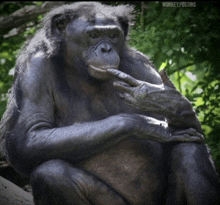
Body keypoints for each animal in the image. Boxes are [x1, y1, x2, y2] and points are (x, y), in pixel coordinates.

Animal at [0, 2, 219, 205]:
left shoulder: (142, 66)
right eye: (94, 35)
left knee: (190, 149)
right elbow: (29, 137)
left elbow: (194, 129)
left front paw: (168, 102)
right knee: (51, 174)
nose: (106, 48)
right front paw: (146, 124)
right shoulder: (34, 69)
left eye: (113, 35)